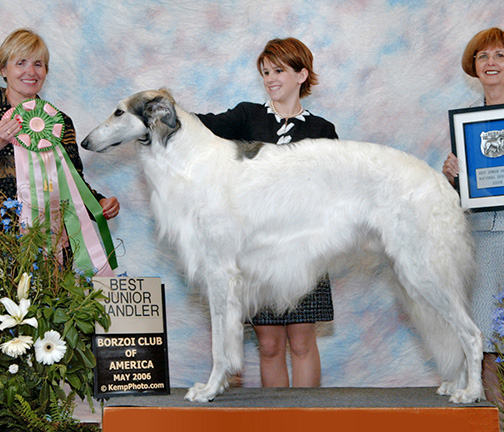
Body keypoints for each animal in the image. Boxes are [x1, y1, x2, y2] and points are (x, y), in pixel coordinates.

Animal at [81, 88, 484, 404]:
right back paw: (457, 385)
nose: (85, 142)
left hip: (423, 271)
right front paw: (220, 386)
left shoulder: (220, 272)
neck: (188, 158)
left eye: (119, 111)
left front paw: (209, 390)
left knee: (472, 334)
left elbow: (219, 345)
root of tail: (440, 182)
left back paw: (472, 393)